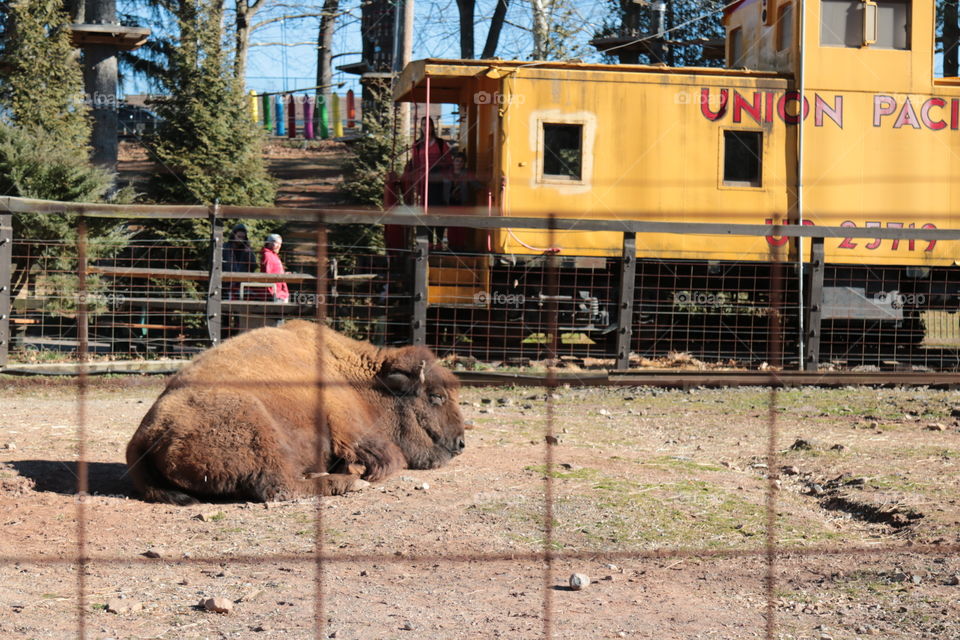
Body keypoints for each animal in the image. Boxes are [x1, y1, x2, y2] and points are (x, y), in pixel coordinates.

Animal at [126, 320, 464, 504]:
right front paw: (358, 474)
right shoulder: (355, 433)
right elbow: (390, 458)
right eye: (436, 396)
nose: (460, 443)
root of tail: (145, 435)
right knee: (279, 487)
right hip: (262, 433)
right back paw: (347, 482)